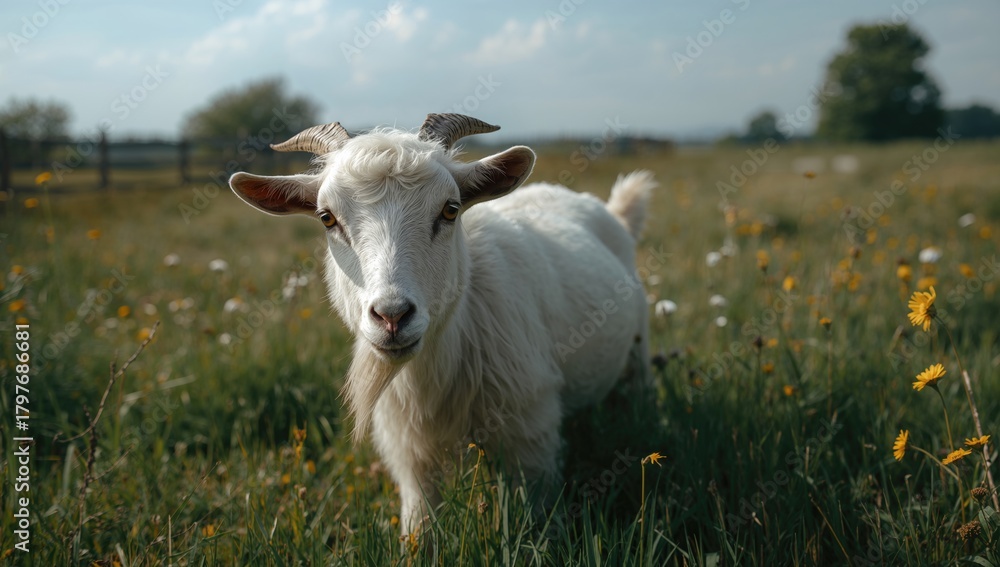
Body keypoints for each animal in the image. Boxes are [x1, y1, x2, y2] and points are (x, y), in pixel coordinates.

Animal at [229, 113, 655, 534]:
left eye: (450, 209)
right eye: (326, 218)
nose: (392, 316)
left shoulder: (530, 437)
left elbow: (531, 524)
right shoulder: (409, 457)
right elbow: (420, 528)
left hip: (638, 350)